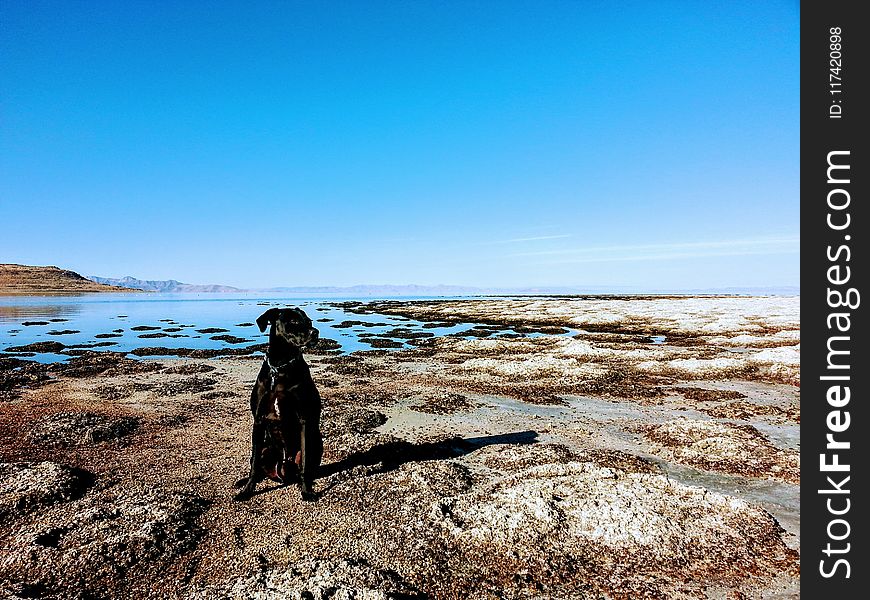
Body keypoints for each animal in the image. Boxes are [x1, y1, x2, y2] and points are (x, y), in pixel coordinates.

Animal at [235, 304, 324, 502]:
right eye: (293, 321)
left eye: (309, 321)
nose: (315, 332)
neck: (280, 367)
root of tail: (281, 471)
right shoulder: (258, 421)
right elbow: (254, 466)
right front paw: (247, 490)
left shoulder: (304, 419)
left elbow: (304, 465)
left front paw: (306, 491)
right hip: (265, 447)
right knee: (258, 464)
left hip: (316, 442)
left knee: (304, 467)